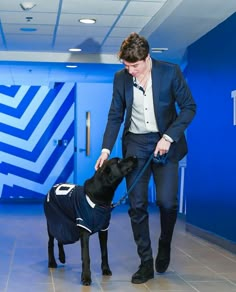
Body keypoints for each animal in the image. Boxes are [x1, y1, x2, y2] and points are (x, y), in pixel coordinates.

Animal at [43, 156, 137, 286]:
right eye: (118, 161)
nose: (135, 157)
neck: (99, 197)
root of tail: (53, 187)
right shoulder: (84, 231)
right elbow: (86, 256)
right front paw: (86, 277)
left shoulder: (104, 229)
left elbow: (104, 252)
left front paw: (105, 269)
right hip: (53, 223)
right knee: (50, 242)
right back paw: (52, 262)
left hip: (64, 225)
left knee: (60, 239)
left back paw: (62, 256)